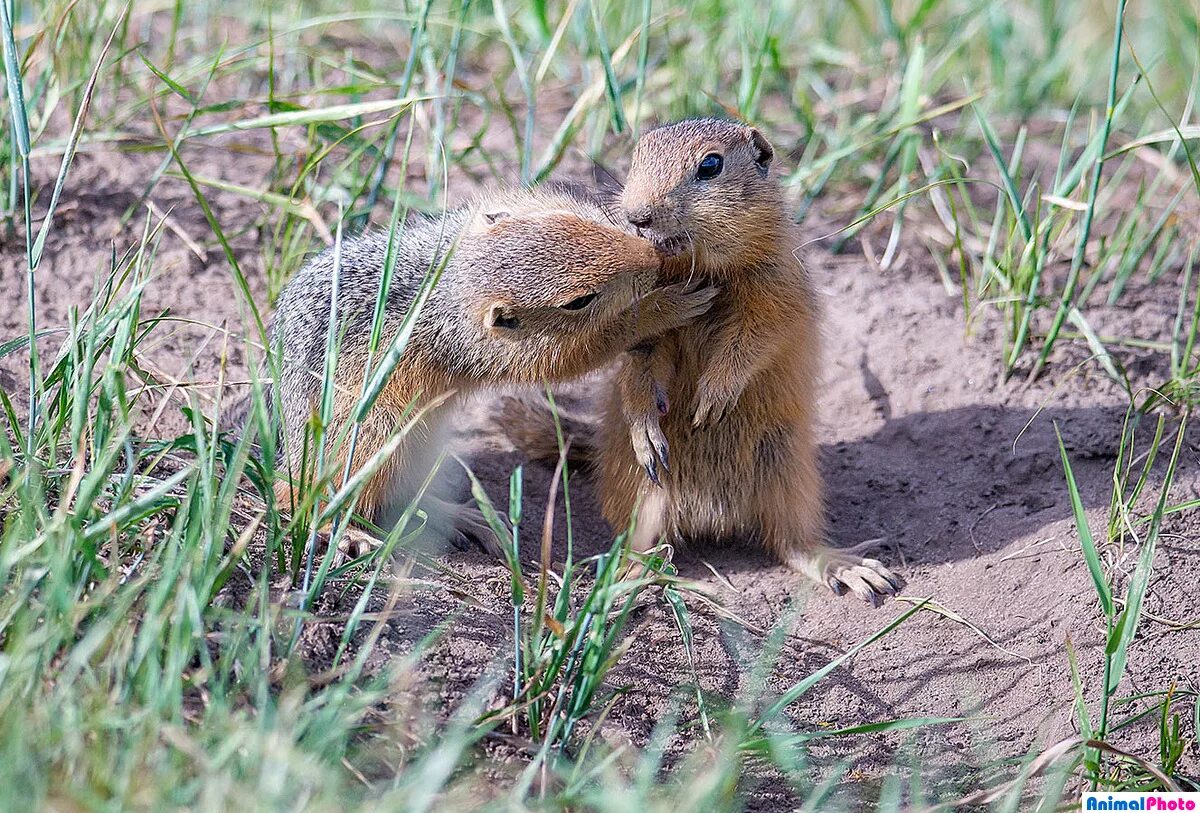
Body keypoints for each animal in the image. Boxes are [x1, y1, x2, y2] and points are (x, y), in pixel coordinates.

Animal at [268, 188, 715, 551]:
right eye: (578, 301)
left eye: (574, 222)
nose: (654, 260)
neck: (454, 282)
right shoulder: (509, 350)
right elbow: (586, 348)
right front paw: (665, 306)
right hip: (372, 437)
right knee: (306, 500)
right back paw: (344, 532)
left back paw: (464, 518)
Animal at [501, 119, 897, 604]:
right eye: (637, 155)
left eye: (711, 165)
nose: (637, 215)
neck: (700, 265)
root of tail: (715, 517)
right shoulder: (647, 322)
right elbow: (642, 367)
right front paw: (649, 430)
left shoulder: (776, 290)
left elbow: (754, 340)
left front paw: (710, 400)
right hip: (640, 491)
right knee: (643, 542)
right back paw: (626, 578)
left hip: (790, 473)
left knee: (792, 542)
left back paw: (852, 569)